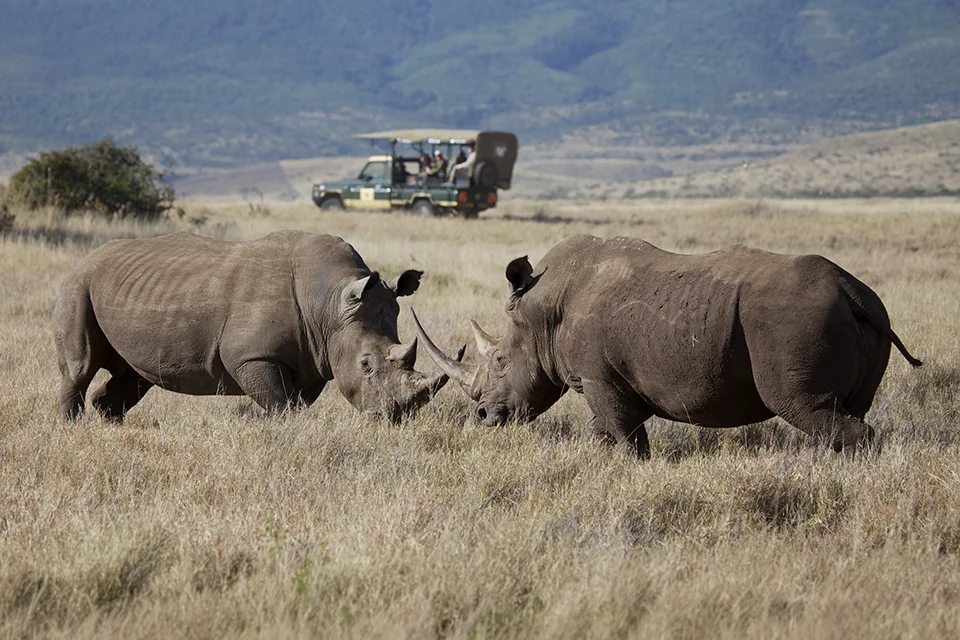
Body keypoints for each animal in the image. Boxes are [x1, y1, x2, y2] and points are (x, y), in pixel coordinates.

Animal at [54, 230, 454, 422]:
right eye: (366, 364)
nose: (395, 418)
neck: (329, 302)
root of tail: (85, 258)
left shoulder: (314, 358)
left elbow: (294, 403)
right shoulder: (252, 356)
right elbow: (281, 405)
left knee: (135, 376)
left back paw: (109, 422)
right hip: (78, 285)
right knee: (80, 367)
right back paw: (73, 429)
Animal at [413, 234, 922, 457]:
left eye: (500, 359)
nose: (482, 415)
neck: (542, 313)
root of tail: (852, 290)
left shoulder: (599, 377)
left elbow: (624, 436)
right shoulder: (609, 381)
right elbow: (609, 433)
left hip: (795, 319)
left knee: (804, 405)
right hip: (864, 313)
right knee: (842, 410)